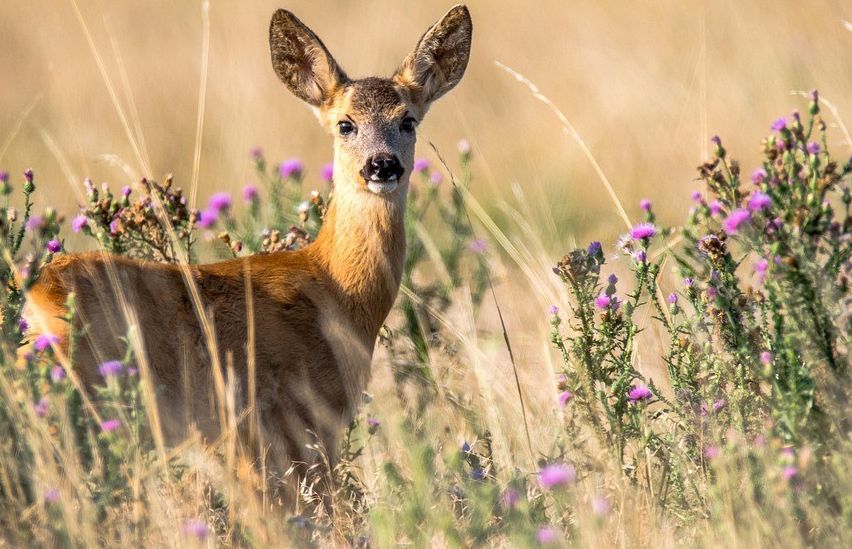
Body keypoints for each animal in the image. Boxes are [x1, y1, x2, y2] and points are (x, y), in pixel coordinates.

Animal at [23, 5, 472, 501]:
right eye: (345, 124)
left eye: (408, 120)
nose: (382, 165)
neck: (336, 290)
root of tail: (38, 295)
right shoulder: (294, 421)